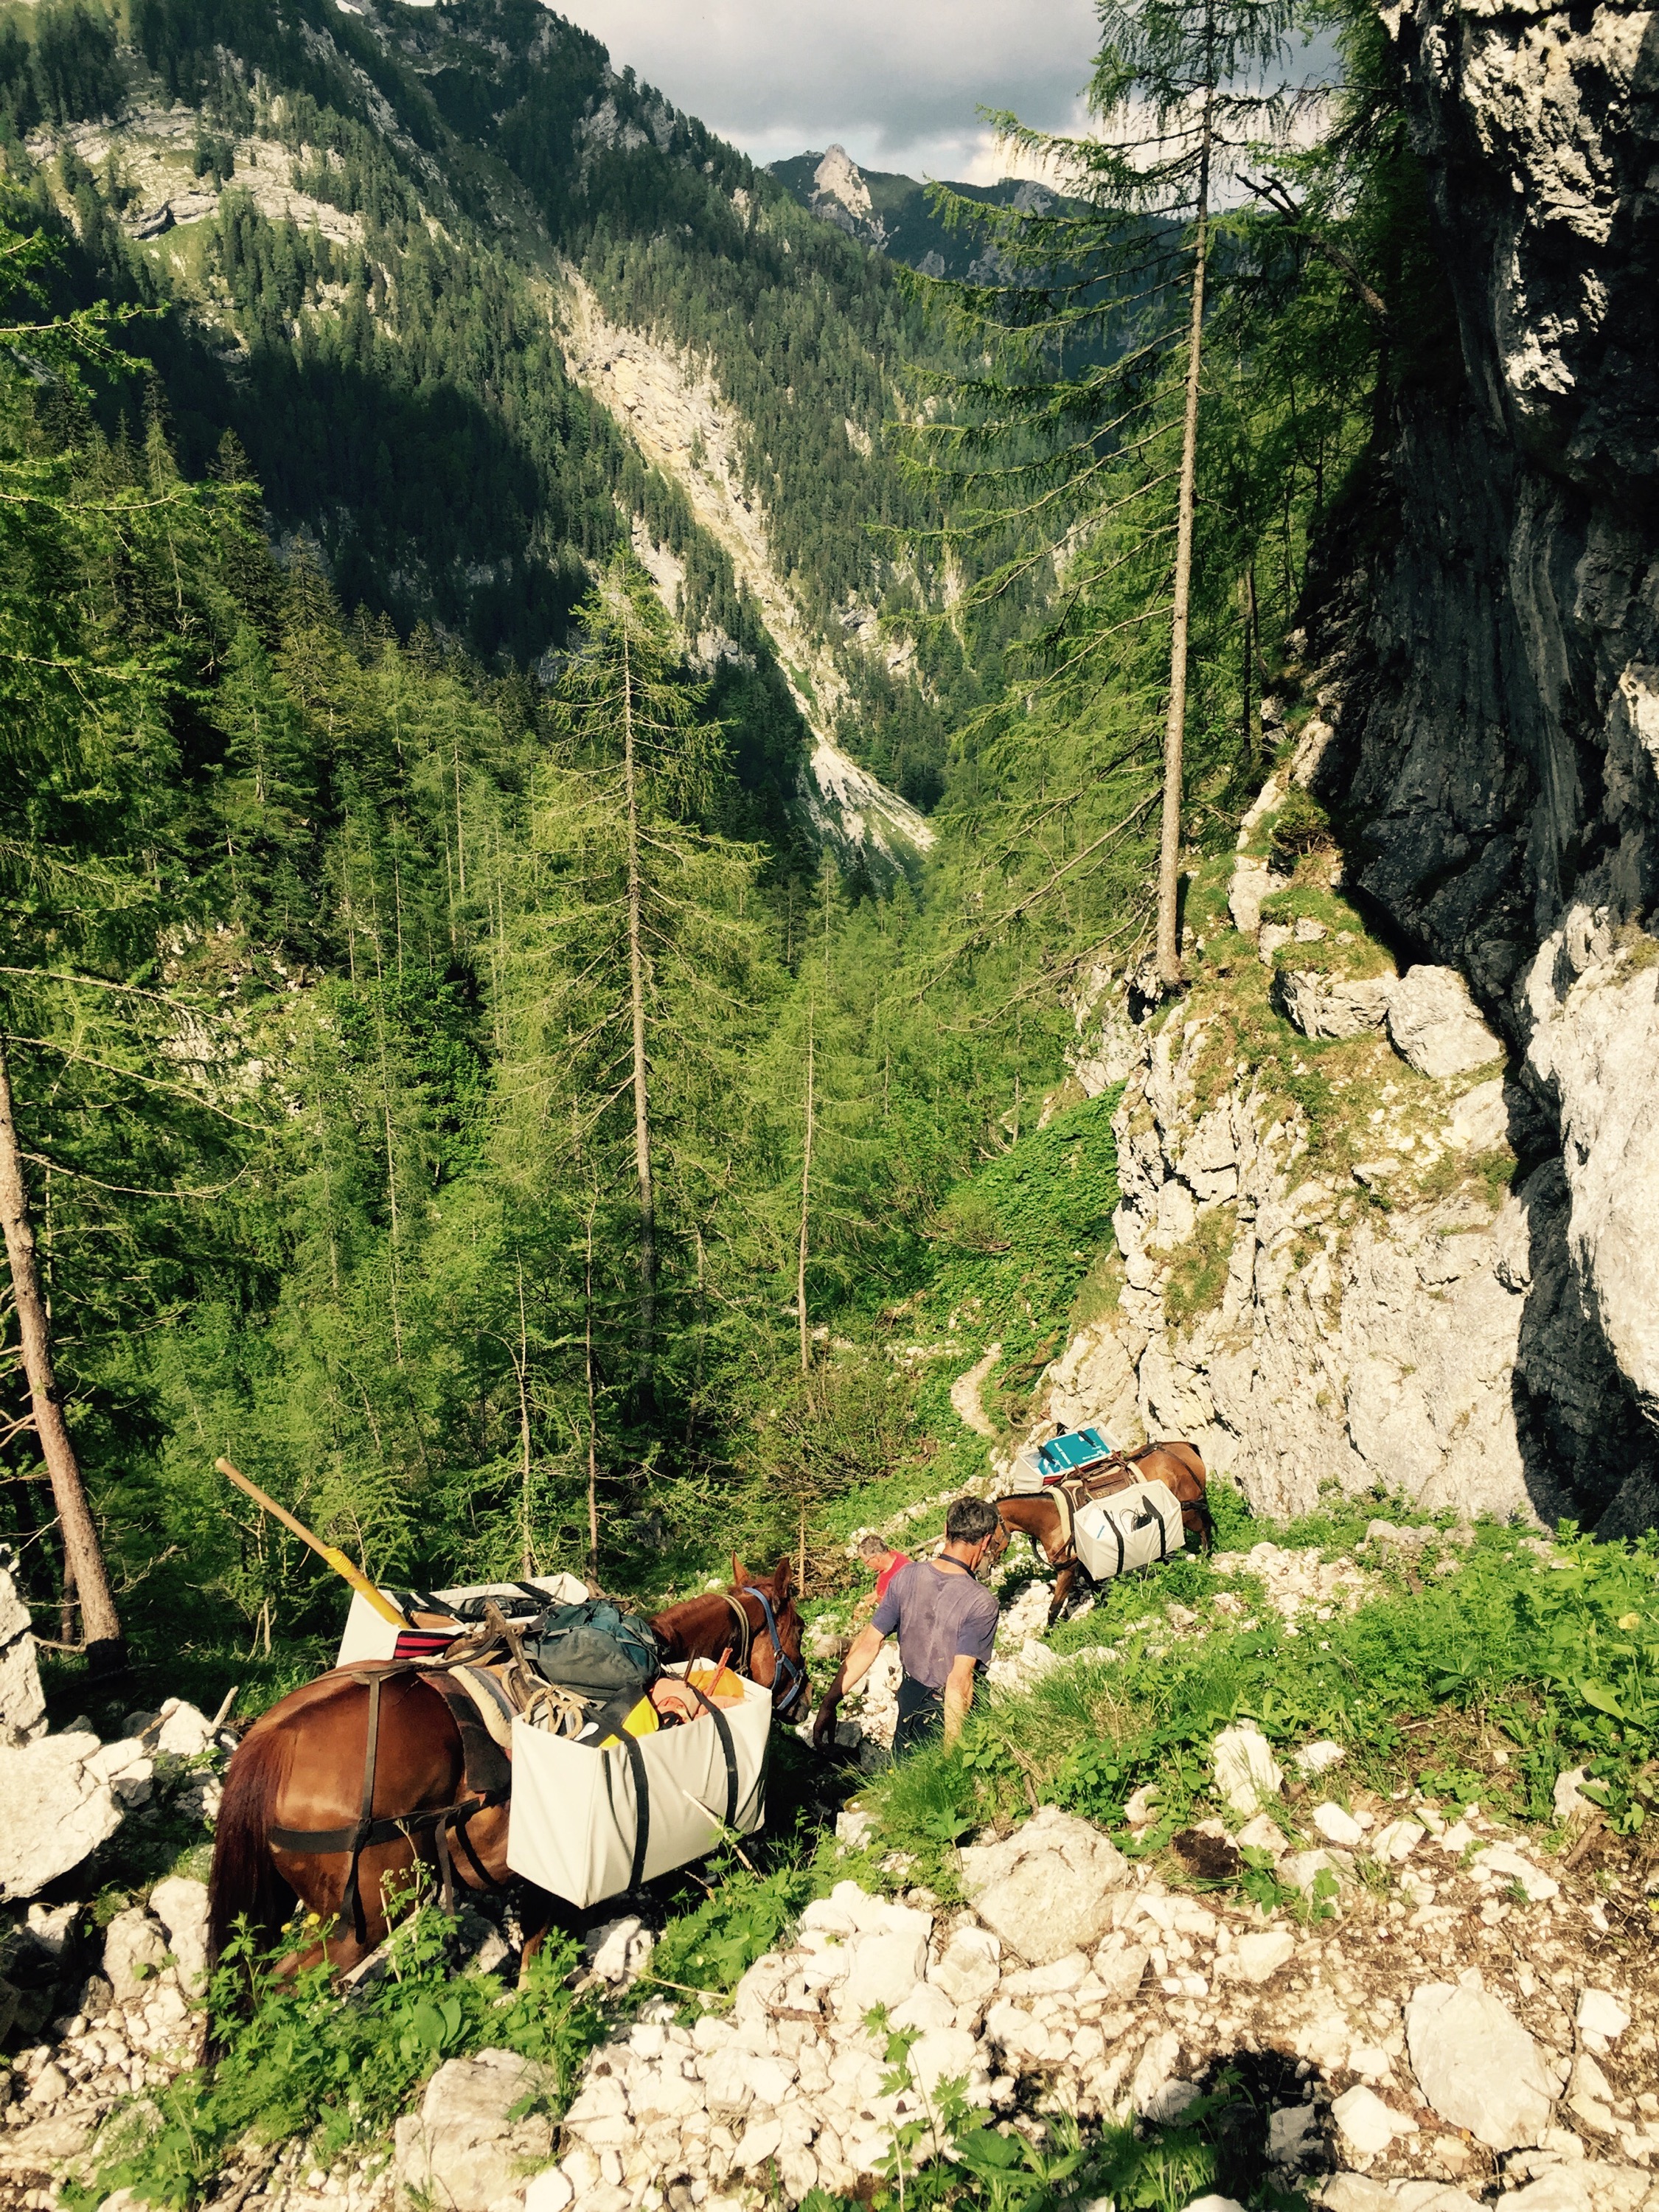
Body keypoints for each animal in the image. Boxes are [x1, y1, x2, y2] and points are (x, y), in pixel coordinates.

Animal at [209, 1557, 814, 2008]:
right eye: (801, 1628)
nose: (805, 1702)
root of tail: (270, 1739)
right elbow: (537, 1949)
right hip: (363, 1920)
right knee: (281, 1988)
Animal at [995, 1442, 1212, 1637]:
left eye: (987, 1532)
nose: (987, 1568)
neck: (1052, 1519)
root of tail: (1182, 1446)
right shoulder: (1083, 1560)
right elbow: (1093, 1584)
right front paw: (1102, 1605)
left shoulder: (1067, 1568)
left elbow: (1054, 1607)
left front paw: (1047, 1637)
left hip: (1187, 1512)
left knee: (1204, 1530)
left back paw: (1204, 1560)